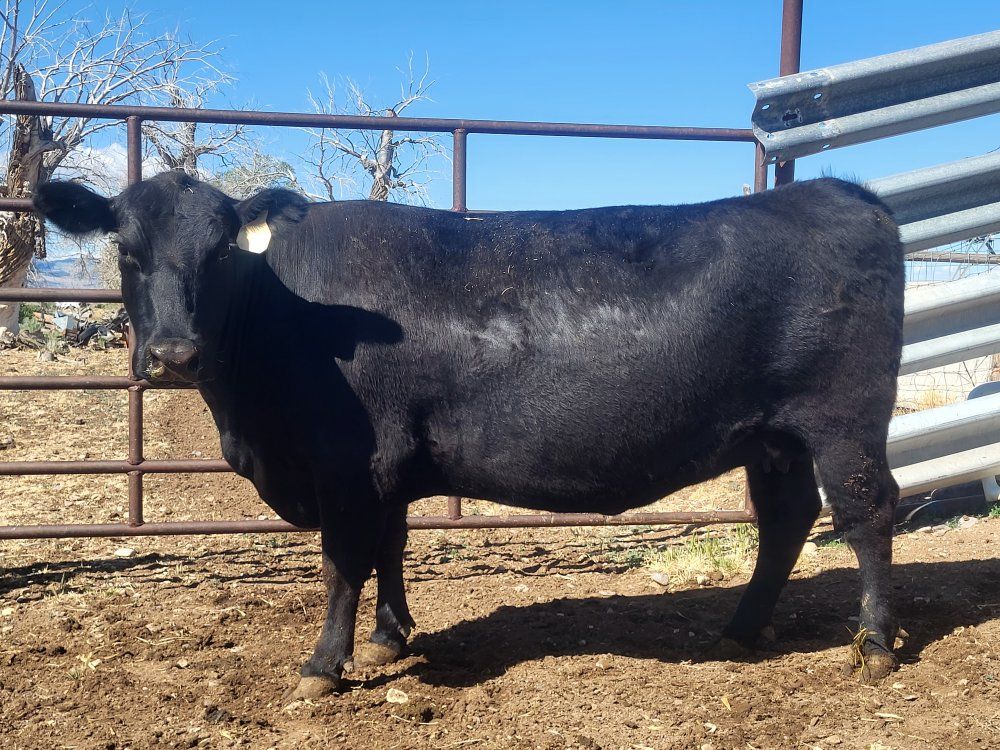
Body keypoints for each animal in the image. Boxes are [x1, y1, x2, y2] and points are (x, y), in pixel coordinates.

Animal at [33, 171, 905, 701]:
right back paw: (742, 629)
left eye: (217, 251)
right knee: (787, 519)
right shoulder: (385, 467)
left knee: (866, 514)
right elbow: (390, 546)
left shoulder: (347, 464)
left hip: (845, 423)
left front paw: (323, 665)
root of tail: (838, 192)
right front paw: (388, 639)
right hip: (772, 437)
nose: (175, 354)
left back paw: (875, 644)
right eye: (126, 249)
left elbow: (342, 562)